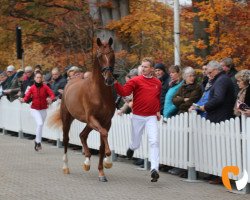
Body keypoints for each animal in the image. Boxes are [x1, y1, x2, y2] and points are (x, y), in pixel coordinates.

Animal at [50, 37, 116, 181]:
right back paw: (66, 167)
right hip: (68, 118)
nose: (109, 79)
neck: (99, 92)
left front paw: (102, 172)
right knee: (66, 139)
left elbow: (102, 145)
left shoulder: (106, 121)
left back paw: (87, 162)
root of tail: (71, 79)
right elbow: (104, 134)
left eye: (112, 54)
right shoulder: (92, 118)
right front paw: (108, 161)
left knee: (82, 135)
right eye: (99, 55)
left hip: (90, 123)